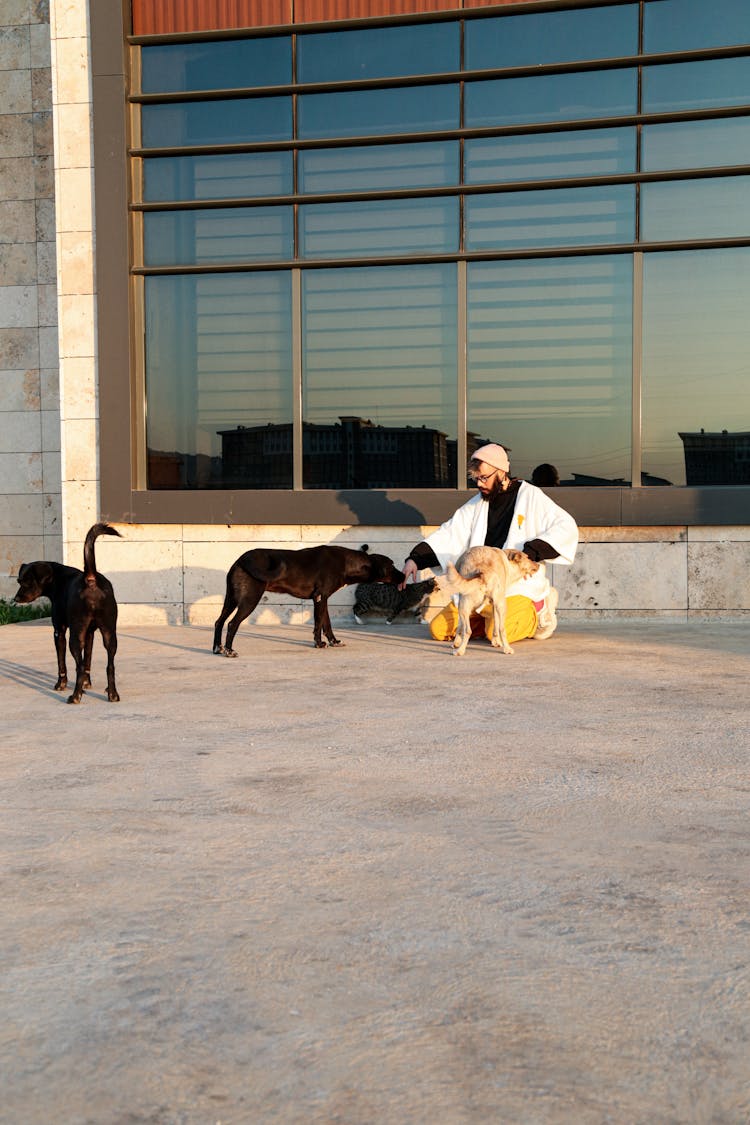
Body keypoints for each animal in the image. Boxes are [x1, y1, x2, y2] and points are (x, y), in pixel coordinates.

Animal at [14, 519, 123, 697]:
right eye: (18, 581)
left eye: (28, 582)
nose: (16, 599)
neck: (57, 580)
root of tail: (90, 578)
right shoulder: (90, 633)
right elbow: (88, 660)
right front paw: (87, 682)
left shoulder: (59, 631)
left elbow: (62, 662)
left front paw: (61, 684)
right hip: (109, 633)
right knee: (110, 665)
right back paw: (112, 694)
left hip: (76, 636)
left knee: (79, 665)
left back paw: (75, 696)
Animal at [213, 542, 404, 657]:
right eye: (392, 565)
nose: (403, 575)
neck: (346, 563)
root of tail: (242, 558)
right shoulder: (320, 597)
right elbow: (319, 625)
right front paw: (318, 644)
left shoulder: (322, 599)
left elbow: (327, 624)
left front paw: (334, 642)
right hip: (249, 599)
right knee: (232, 624)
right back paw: (229, 650)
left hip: (231, 599)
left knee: (219, 622)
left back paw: (217, 648)